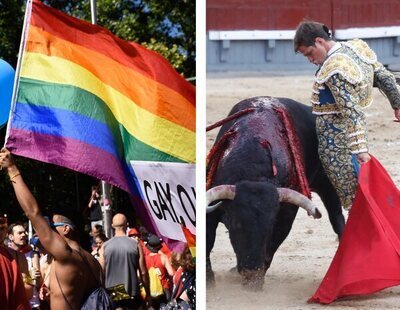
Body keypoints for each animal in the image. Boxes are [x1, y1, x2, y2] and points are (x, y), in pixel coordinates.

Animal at [205, 95, 346, 290]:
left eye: (270, 225)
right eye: (235, 223)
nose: (251, 274)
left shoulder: (285, 216)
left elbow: (272, 245)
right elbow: (208, 238)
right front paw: (208, 280)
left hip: (327, 181)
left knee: (337, 218)